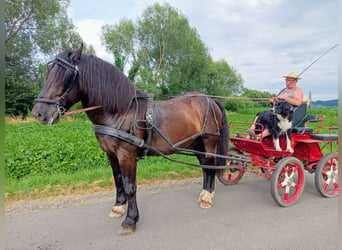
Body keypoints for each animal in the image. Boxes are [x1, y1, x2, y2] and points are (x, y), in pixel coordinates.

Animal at [32, 45, 228, 234]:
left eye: (65, 76)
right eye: (48, 73)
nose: (38, 113)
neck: (120, 111)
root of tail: (210, 100)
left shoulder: (126, 154)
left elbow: (130, 186)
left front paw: (130, 220)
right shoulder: (111, 154)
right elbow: (118, 180)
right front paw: (118, 208)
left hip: (209, 141)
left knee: (210, 164)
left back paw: (207, 197)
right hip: (196, 143)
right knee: (204, 165)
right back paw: (205, 193)